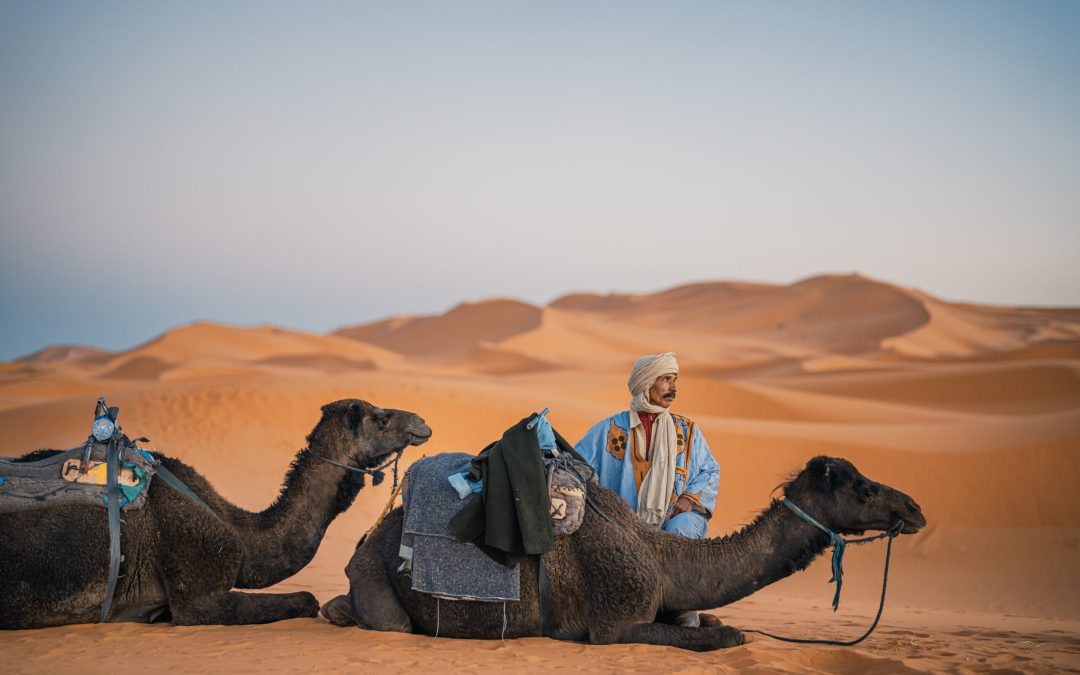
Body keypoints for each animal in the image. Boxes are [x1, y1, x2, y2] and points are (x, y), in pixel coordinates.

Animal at [321, 455, 926, 651]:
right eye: (863, 489)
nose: (915, 508)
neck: (661, 559)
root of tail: (368, 537)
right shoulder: (617, 623)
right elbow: (728, 636)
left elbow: (714, 621)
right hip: (375, 573)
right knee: (386, 621)